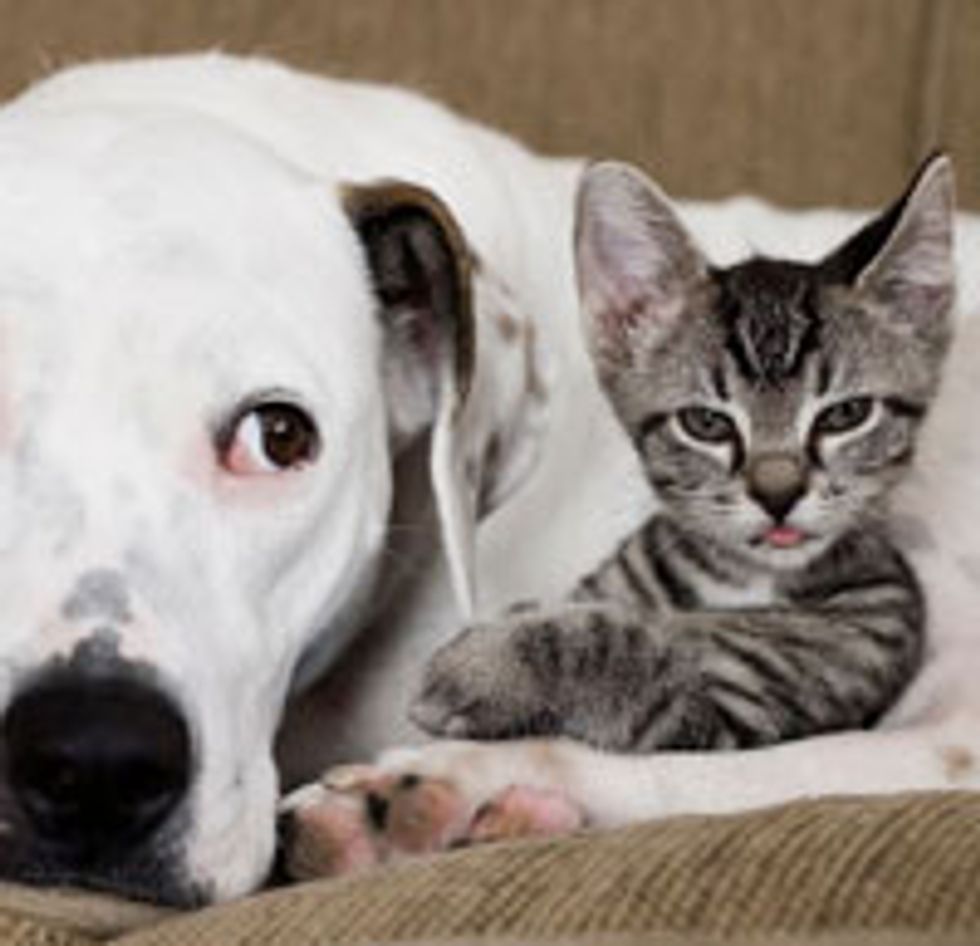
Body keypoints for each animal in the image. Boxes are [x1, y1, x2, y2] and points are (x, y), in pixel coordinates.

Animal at [410, 159, 952, 756]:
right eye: (706, 424)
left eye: (845, 415)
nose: (779, 494)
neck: (739, 579)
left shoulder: (745, 705)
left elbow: (627, 642)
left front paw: (486, 664)